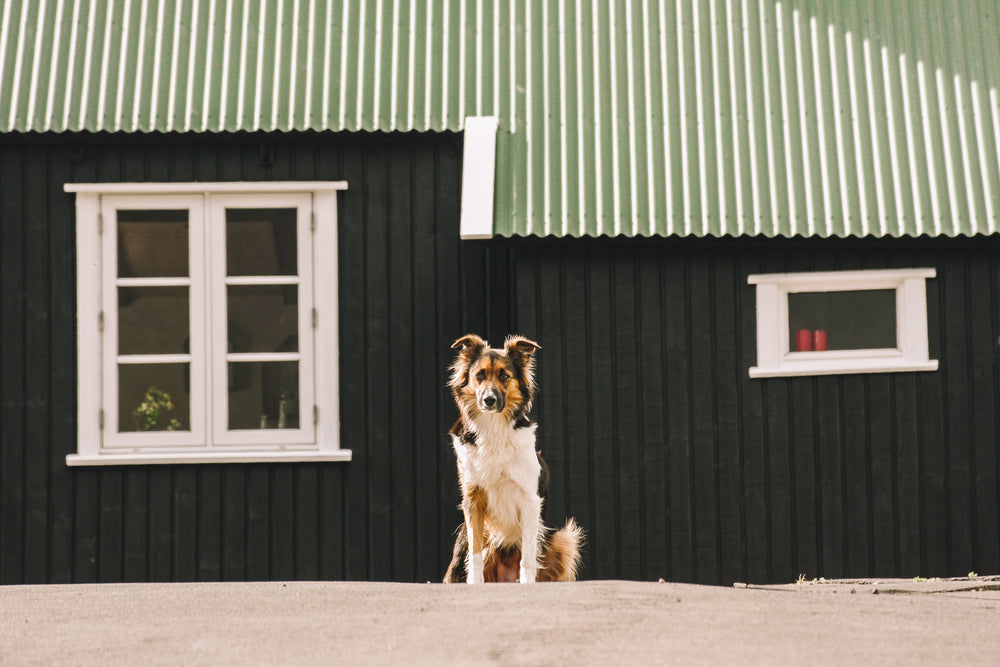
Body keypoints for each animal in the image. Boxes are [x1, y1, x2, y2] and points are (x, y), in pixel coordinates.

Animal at [444, 334, 584, 584]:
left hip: (563, 539)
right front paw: (475, 583)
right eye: (479, 375)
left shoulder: (530, 500)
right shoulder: (473, 498)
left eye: (504, 376)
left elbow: (527, 555)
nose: (489, 400)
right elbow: (475, 552)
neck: (494, 428)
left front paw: (527, 583)